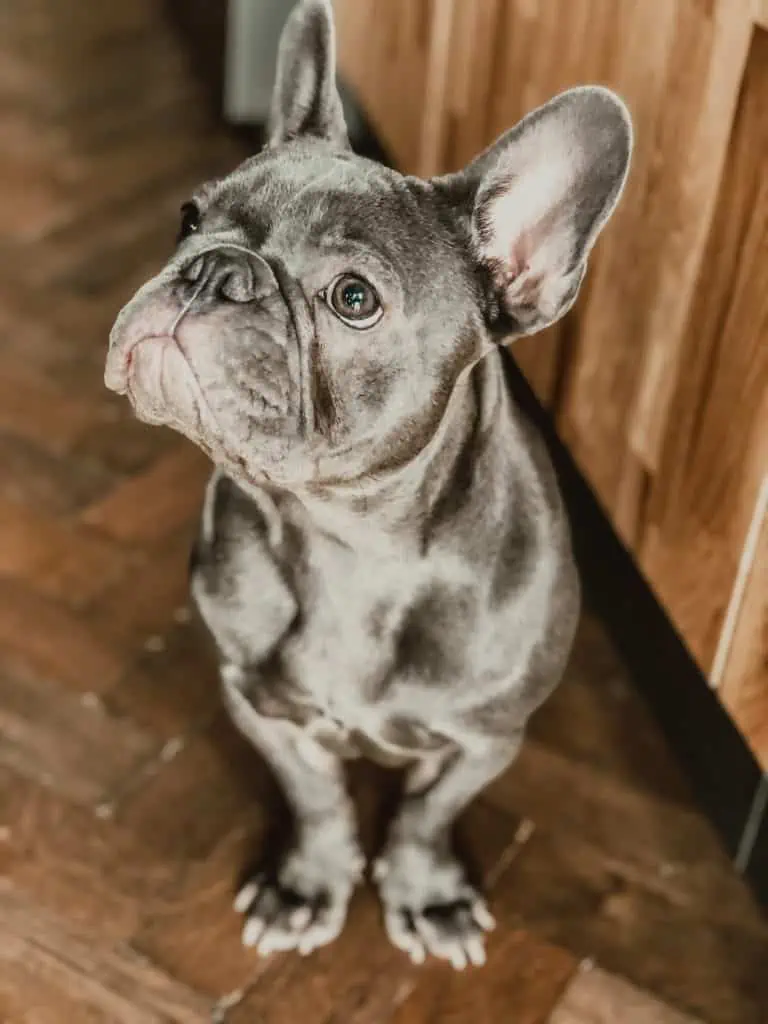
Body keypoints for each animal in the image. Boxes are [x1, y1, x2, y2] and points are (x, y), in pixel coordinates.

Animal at [103, 0, 630, 966]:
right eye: (188, 218)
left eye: (353, 299)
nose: (212, 269)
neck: (346, 541)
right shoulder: (259, 703)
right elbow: (315, 799)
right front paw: (307, 884)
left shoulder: (484, 739)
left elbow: (426, 814)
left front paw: (427, 894)